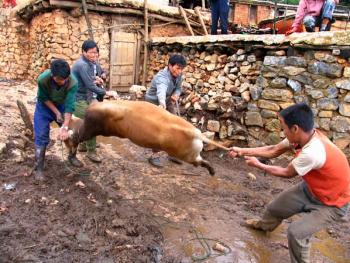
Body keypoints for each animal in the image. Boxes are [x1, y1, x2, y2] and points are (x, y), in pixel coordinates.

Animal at [65, 100, 230, 176]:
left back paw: (212, 172)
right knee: (200, 161)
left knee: (198, 162)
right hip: (189, 152)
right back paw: (213, 172)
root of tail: (195, 133)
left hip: (184, 153)